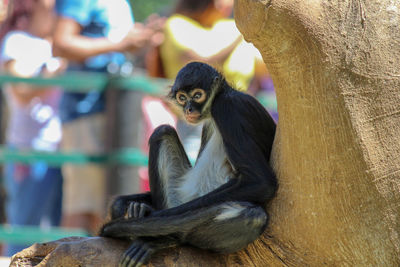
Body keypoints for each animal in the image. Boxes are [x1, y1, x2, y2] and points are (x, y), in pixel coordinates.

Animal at [100, 61, 276, 266]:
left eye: (198, 95)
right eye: (182, 98)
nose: (189, 109)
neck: (222, 95)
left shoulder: (229, 107)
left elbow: (261, 182)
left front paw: (147, 214)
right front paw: (131, 206)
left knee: (253, 216)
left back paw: (165, 238)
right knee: (162, 131)